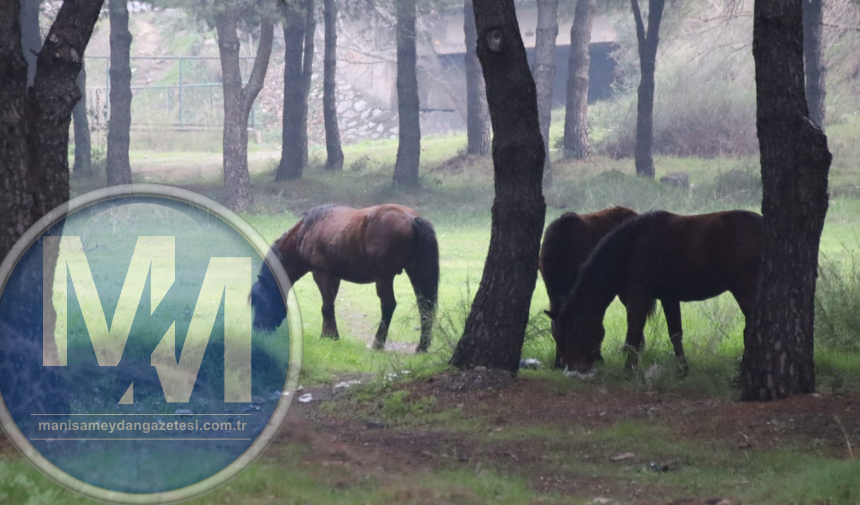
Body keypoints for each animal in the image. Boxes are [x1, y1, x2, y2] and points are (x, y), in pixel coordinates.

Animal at [247, 203, 436, 352]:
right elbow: (329, 305)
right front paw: (327, 335)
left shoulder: (321, 274)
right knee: (424, 306)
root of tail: (413, 219)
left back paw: (377, 343)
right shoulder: (334, 277)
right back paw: (422, 346)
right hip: (415, 272)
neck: (306, 232)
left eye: (261, 301)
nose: (257, 329)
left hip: (385, 277)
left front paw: (331, 337)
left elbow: (326, 306)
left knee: (388, 305)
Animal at [548, 209, 764, 374]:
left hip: (745, 290)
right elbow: (675, 333)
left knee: (749, 330)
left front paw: (629, 370)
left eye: (575, 329)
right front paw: (683, 369)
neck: (631, 245)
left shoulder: (639, 294)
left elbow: (634, 332)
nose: (574, 367)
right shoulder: (669, 297)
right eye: (558, 335)